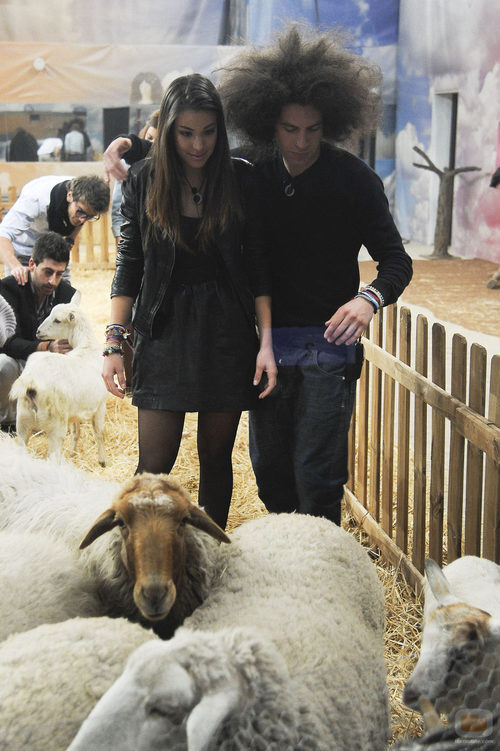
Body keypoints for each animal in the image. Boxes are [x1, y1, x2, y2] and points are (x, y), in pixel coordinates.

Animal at [9, 290, 108, 465]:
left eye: (57, 320)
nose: (38, 332)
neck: (86, 346)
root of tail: (31, 382)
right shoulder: (100, 405)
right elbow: (99, 433)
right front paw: (102, 462)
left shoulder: (76, 411)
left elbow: (76, 433)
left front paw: (73, 454)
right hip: (55, 426)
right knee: (53, 458)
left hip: (22, 422)